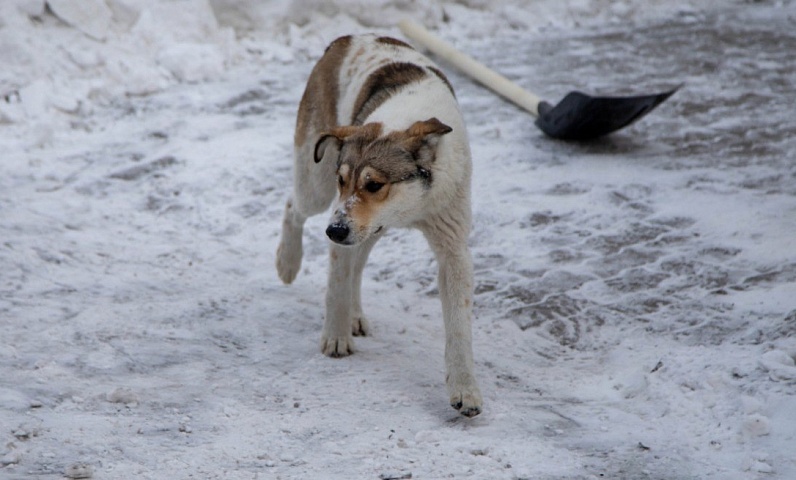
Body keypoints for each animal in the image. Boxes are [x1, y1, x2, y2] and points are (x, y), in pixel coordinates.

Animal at [276, 33, 482, 416]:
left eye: (374, 185)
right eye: (344, 180)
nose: (333, 231)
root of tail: (344, 38)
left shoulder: (453, 247)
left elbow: (459, 327)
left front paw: (465, 390)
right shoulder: (341, 212)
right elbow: (336, 285)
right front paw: (335, 337)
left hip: (367, 227)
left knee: (357, 260)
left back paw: (355, 313)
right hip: (316, 184)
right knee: (293, 205)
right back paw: (287, 262)